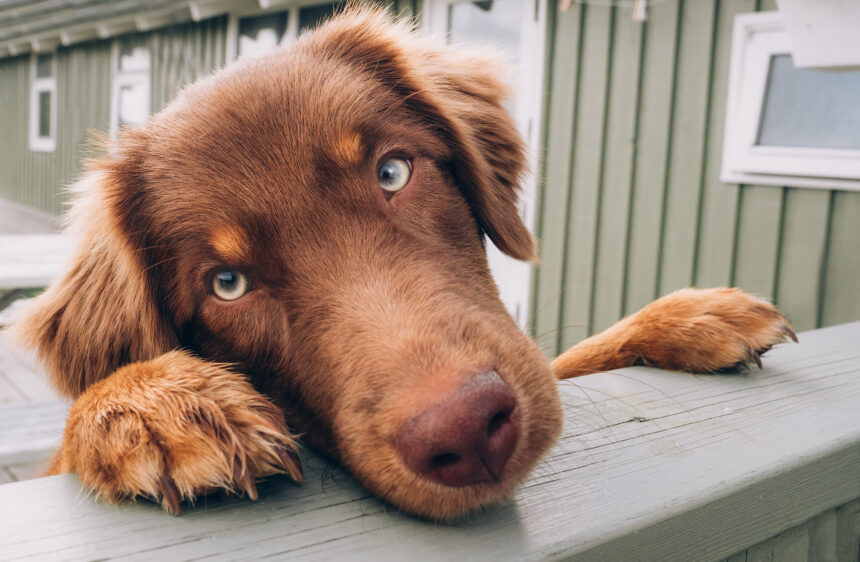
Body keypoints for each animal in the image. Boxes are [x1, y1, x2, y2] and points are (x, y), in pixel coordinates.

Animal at [8, 8, 800, 520]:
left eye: (392, 172)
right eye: (226, 284)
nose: (466, 432)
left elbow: (567, 361)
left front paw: (685, 316)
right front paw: (145, 405)